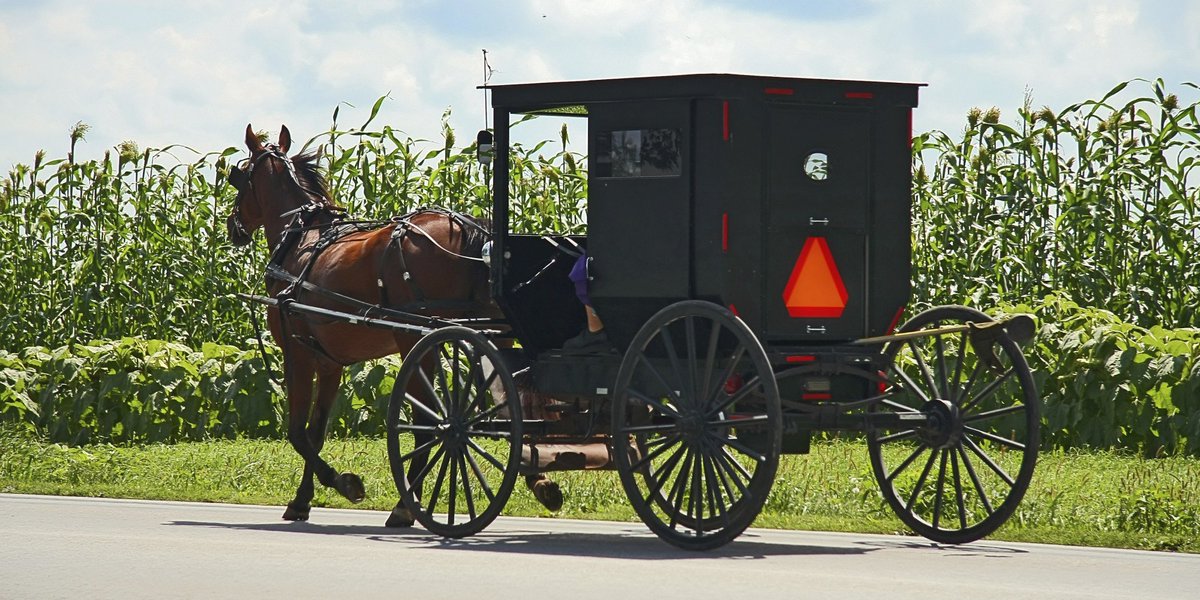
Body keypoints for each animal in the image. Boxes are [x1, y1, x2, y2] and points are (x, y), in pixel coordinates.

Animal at [225, 124, 560, 526]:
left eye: (238, 175)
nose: (231, 227)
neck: (302, 241)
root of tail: (468, 229)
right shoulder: (330, 362)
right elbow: (317, 432)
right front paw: (302, 500)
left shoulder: (298, 354)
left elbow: (297, 432)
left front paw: (344, 483)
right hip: (492, 337)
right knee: (513, 405)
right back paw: (539, 481)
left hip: (413, 340)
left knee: (429, 423)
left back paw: (405, 505)